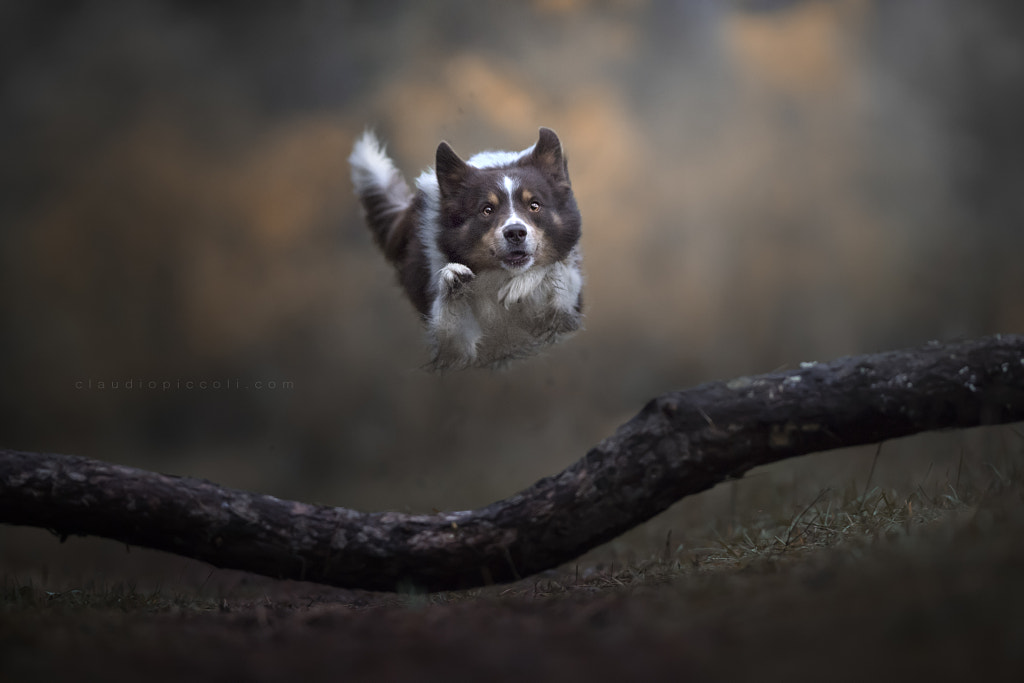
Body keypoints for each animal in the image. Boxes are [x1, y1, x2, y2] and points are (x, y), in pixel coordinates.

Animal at [348, 129, 585, 374]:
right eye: (487, 210)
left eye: (534, 205)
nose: (515, 233)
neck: (500, 276)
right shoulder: (460, 349)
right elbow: (454, 338)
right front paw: (452, 281)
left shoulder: (560, 319)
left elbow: (556, 269)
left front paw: (522, 284)